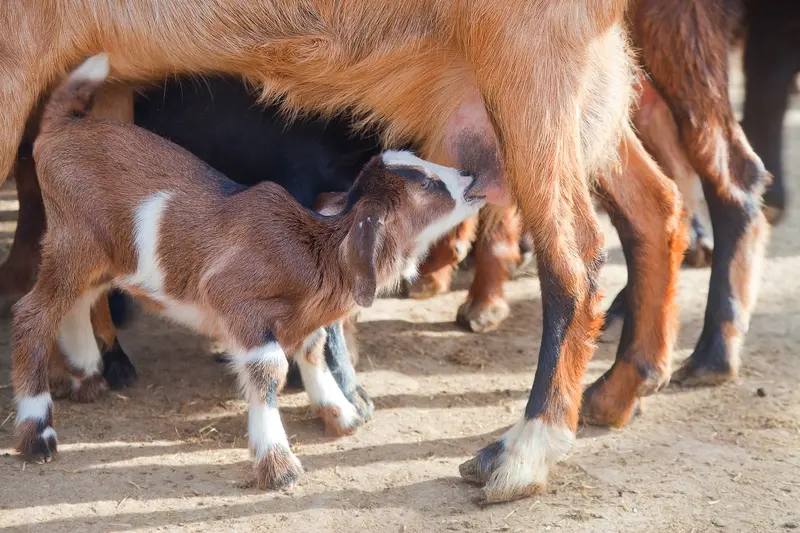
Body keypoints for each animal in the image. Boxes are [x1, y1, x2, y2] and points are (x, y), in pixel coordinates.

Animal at [13, 54, 486, 489]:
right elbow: (269, 368)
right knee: (32, 315)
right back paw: (38, 433)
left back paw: (88, 376)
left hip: (99, 256)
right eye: (427, 185)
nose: (471, 176)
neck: (316, 250)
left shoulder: (302, 317)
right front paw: (278, 465)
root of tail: (62, 127)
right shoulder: (234, 297)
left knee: (74, 304)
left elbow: (312, 347)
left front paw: (340, 414)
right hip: (73, 239)